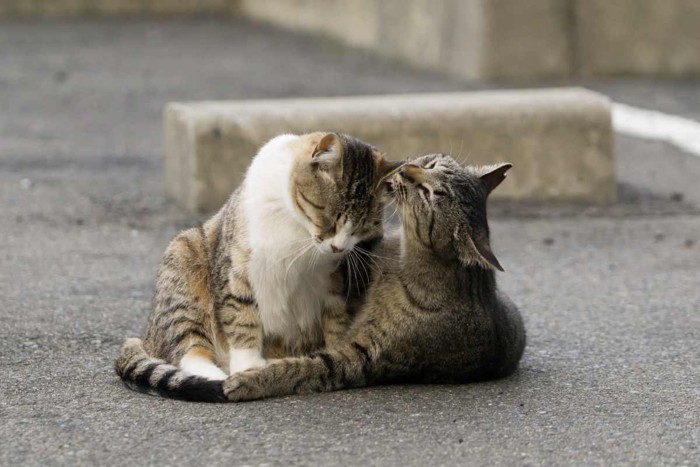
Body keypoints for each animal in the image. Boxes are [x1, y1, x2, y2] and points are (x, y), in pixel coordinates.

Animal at [221, 154, 524, 402]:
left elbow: (303, 368)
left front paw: (250, 380)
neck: (404, 261)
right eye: (431, 164)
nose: (407, 169)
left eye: (430, 194)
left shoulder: (362, 357)